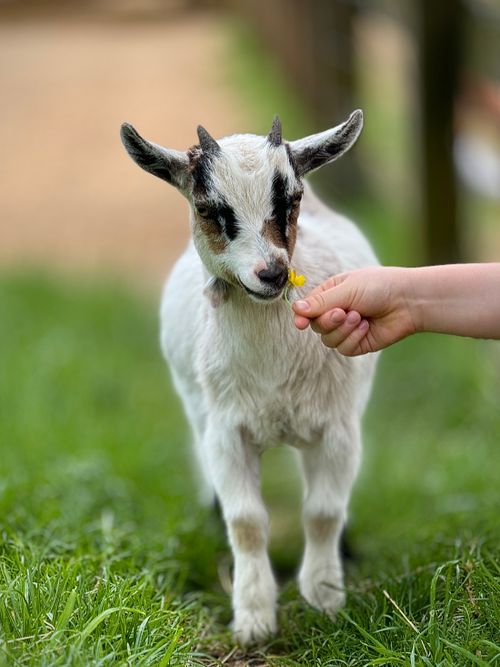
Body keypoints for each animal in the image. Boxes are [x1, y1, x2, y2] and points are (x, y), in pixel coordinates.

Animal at [120, 111, 378, 644]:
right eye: (207, 208)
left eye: (290, 200)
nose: (272, 273)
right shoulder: (225, 431)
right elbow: (247, 521)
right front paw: (255, 617)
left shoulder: (338, 428)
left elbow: (323, 513)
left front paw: (325, 599)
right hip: (198, 411)